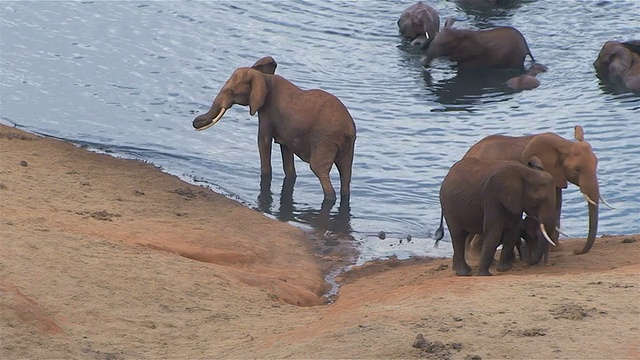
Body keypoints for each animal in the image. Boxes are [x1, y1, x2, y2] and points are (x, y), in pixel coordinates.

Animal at [192, 56, 358, 202]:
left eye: (231, 91)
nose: (194, 122)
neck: (263, 77)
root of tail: (349, 128)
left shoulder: (267, 111)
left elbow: (263, 141)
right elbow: (286, 151)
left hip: (325, 140)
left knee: (319, 170)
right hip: (346, 144)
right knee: (346, 173)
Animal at [462, 125, 612, 255]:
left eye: (596, 163)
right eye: (576, 169)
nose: (576, 251)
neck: (564, 144)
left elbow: (556, 204)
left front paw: (557, 248)